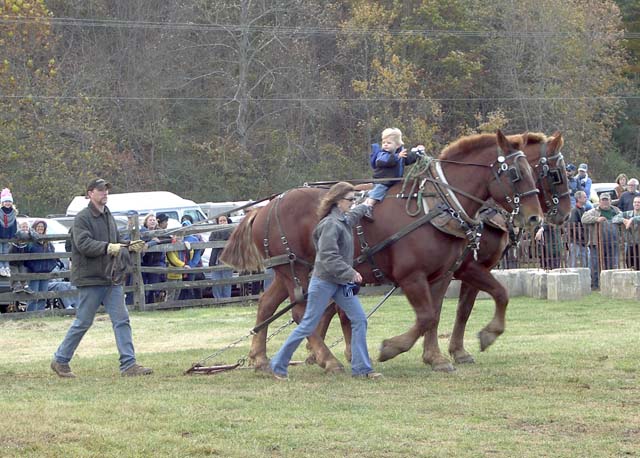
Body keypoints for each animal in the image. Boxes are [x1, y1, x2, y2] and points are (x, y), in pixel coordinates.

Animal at [221, 130, 544, 373]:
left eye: (533, 171)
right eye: (515, 174)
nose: (535, 218)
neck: (436, 205)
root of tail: (266, 207)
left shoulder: (442, 275)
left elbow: (437, 314)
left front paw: (437, 357)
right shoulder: (412, 275)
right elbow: (426, 316)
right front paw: (392, 348)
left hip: (287, 270)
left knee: (267, 304)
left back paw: (261, 359)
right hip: (295, 269)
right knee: (302, 312)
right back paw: (327, 360)